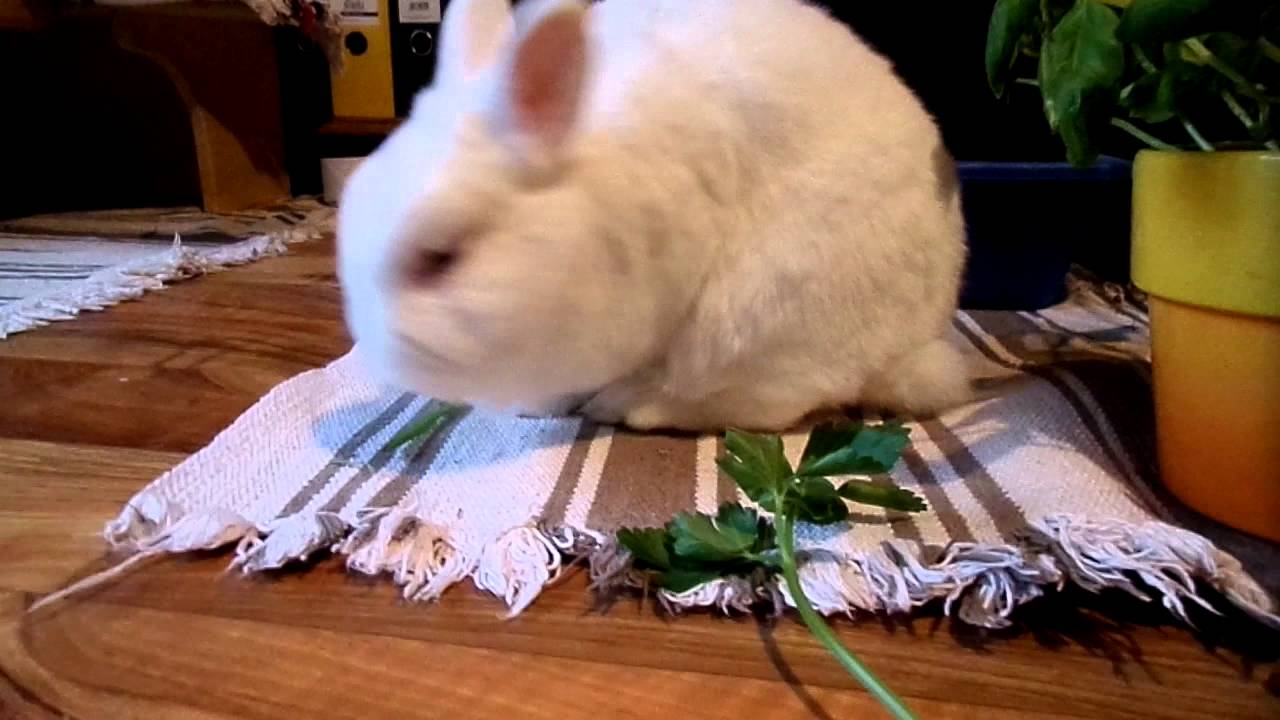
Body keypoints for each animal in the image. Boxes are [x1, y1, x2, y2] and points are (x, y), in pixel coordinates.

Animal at [337, 0, 970, 432]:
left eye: (440, 258)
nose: (376, 352)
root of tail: (917, 343)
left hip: (760, 319)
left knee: (757, 404)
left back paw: (631, 406)